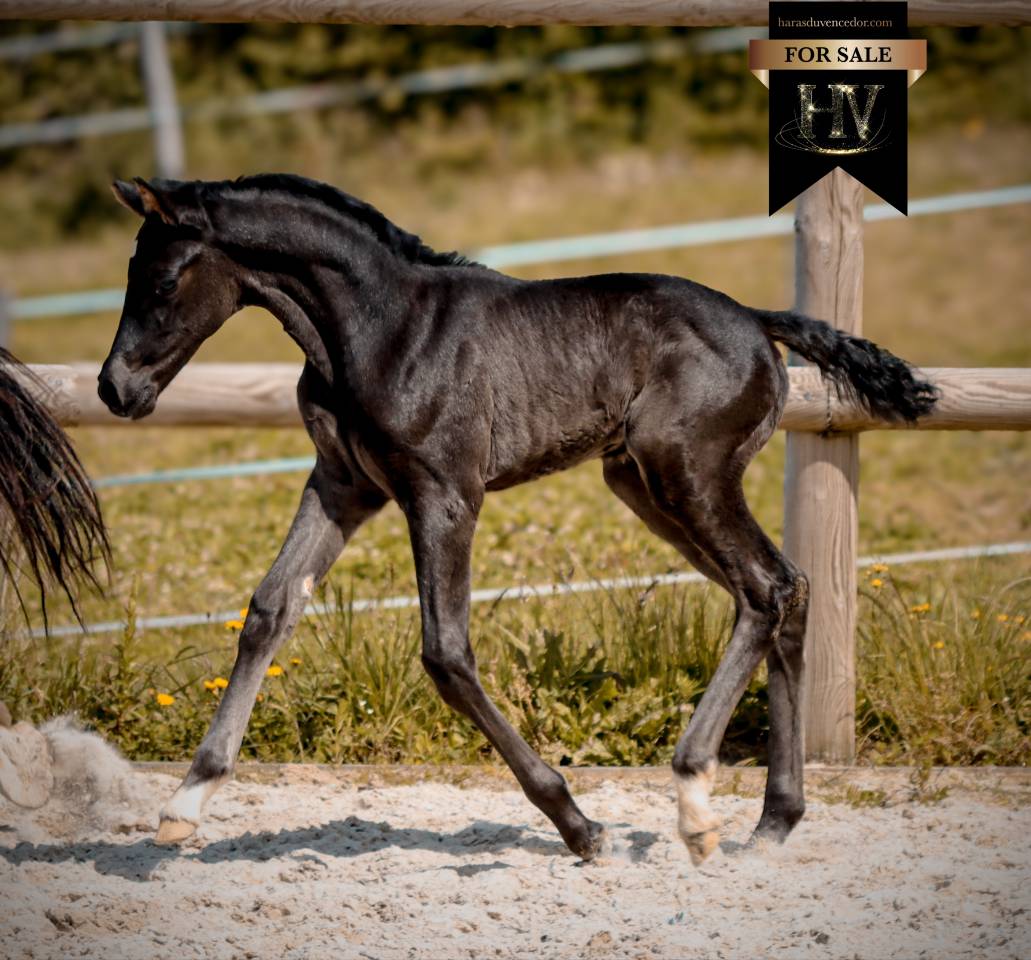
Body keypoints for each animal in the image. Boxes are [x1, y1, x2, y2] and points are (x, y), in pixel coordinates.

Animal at [101, 175, 936, 864]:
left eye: (165, 278)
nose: (115, 389)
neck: (377, 330)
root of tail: (755, 322)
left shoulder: (443, 494)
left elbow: (445, 654)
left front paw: (579, 826)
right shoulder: (343, 484)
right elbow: (269, 611)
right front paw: (183, 805)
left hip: (686, 475)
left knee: (766, 589)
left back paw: (697, 802)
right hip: (643, 485)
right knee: (782, 590)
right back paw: (772, 821)